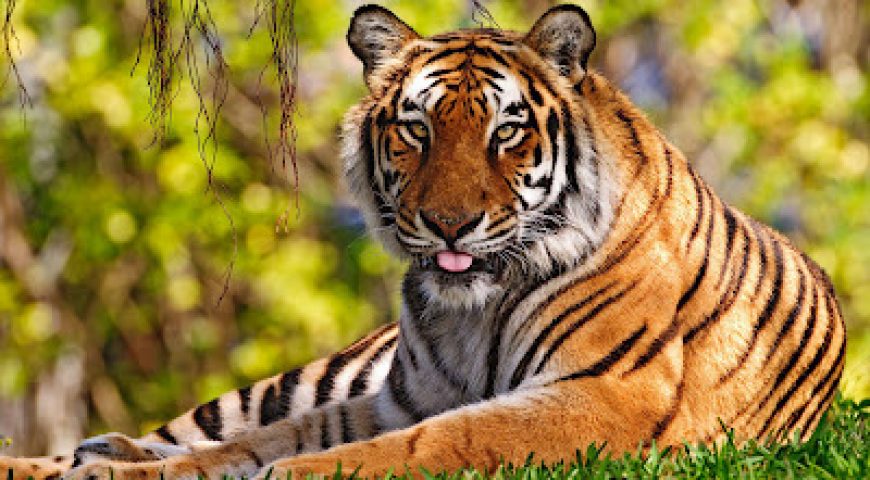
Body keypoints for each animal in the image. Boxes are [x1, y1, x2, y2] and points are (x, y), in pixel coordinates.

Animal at [1, 4, 846, 479]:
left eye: (506, 132)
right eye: (417, 129)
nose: (448, 223)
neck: (472, 309)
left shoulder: (604, 396)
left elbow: (430, 445)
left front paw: (296, 475)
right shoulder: (397, 397)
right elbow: (247, 446)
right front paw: (118, 474)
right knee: (173, 435)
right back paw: (82, 457)